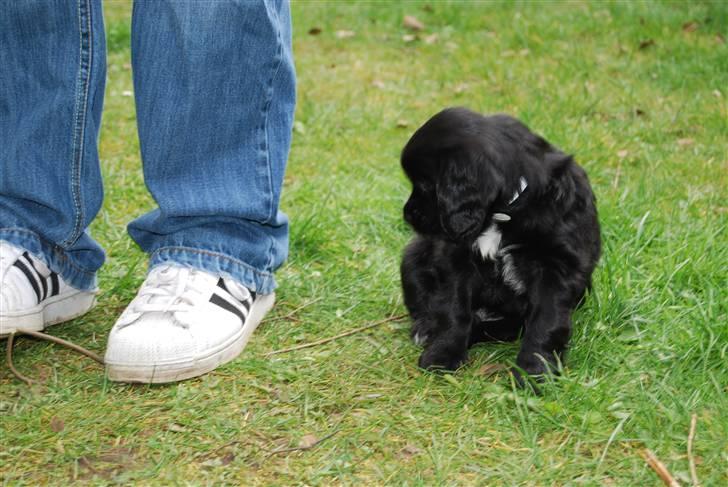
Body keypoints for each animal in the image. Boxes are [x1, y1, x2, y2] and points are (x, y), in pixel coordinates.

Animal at [400, 107, 600, 382]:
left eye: (424, 185)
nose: (407, 214)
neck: (505, 212)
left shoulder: (555, 268)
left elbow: (546, 320)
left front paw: (533, 373)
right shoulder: (455, 258)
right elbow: (453, 308)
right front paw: (443, 353)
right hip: (412, 258)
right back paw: (426, 328)